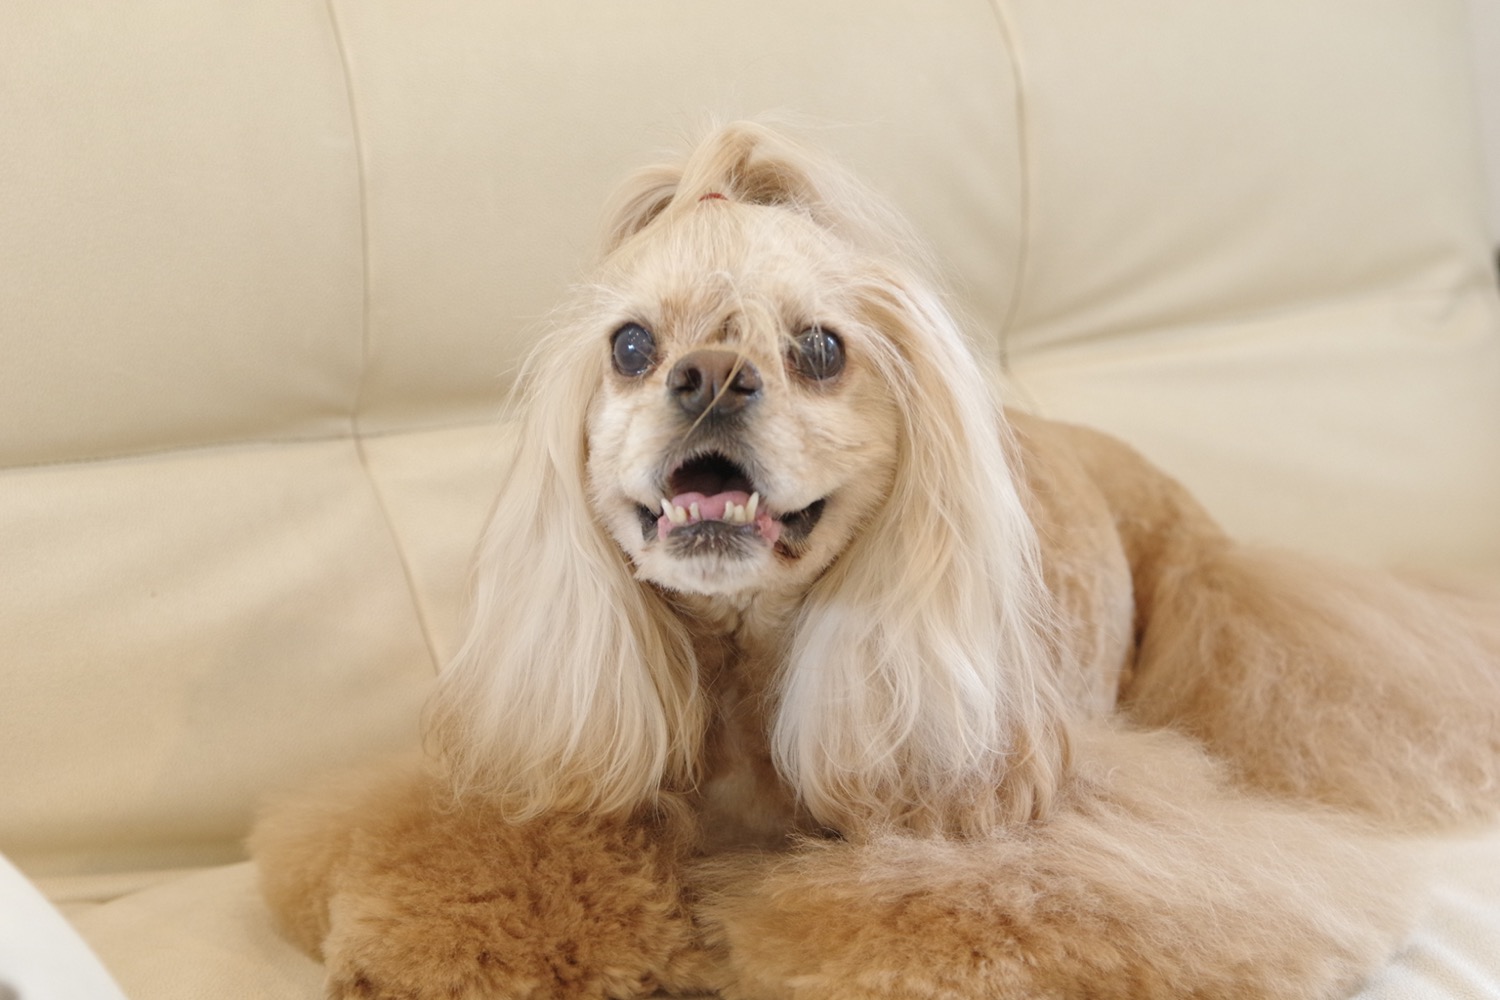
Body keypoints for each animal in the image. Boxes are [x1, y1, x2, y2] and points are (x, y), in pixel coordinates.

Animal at [251, 122, 1500, 1000]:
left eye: (818, 348)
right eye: (631, 345)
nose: (709, 376)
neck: (747, 677)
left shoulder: (1045, 826)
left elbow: (935, 914)